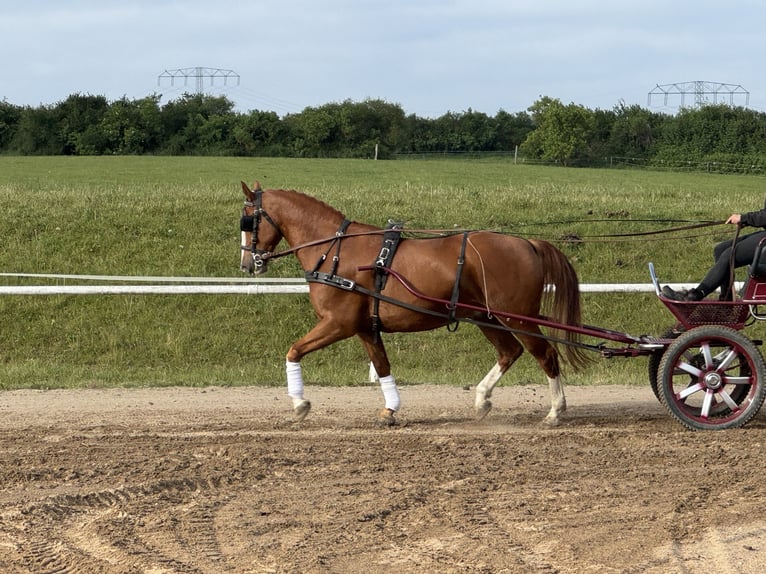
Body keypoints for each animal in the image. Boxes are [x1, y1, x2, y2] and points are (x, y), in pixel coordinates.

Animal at [239, 181, 590, 426]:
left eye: (248, 220)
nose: (247, 263)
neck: (334, 251)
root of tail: (528, 242)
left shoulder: (338, 323)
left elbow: (294, 350)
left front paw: (300, 405)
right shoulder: (365, 328)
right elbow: (382, 366)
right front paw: (390, 409)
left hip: (518, 317)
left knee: (545, 354)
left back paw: (555, 411)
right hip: (486, 316)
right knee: (510, 352)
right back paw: (482, 400)